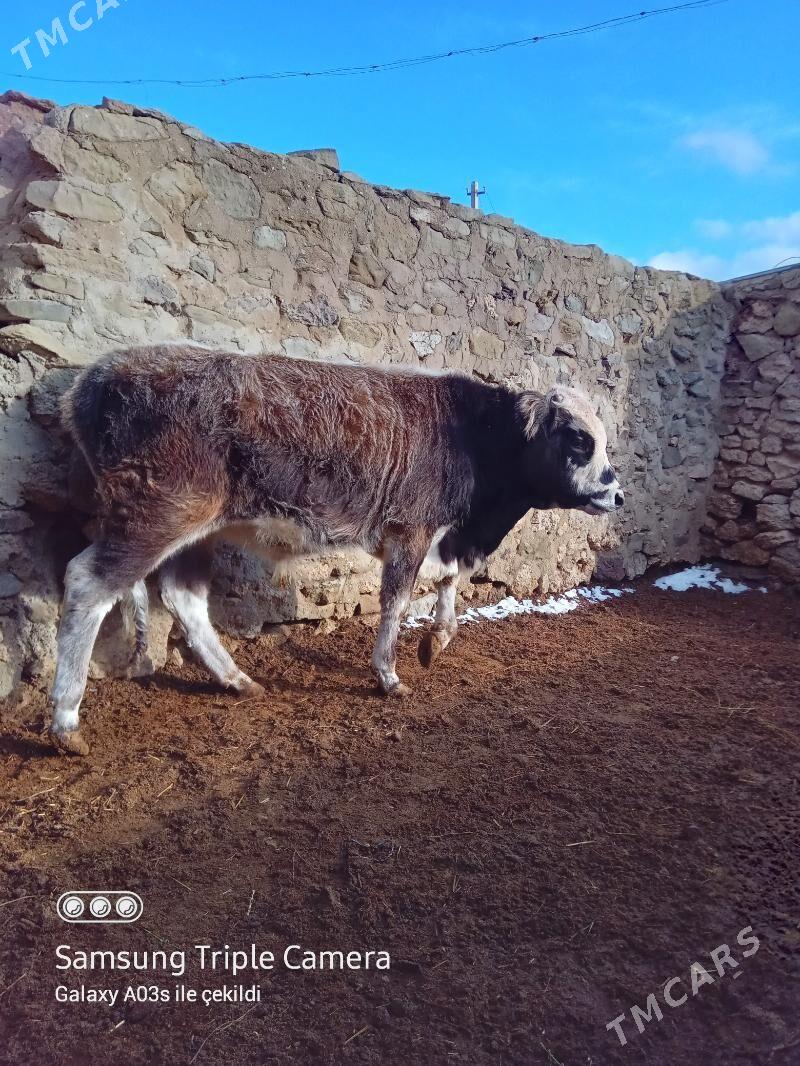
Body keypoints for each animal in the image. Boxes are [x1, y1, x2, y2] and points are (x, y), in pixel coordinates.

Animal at [50, 344, 624, 755]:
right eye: (578, 438)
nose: (616, 493)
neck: (472, 437)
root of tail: (93, 378)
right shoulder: (410, 531)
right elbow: (397, 601)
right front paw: (389, 675)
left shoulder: (444, 537)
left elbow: (447, 584)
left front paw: (436, 641)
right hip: (159, 514)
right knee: (88, 584)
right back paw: (65, 721)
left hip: (197, 529)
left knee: (182, 596)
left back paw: (237, 680)